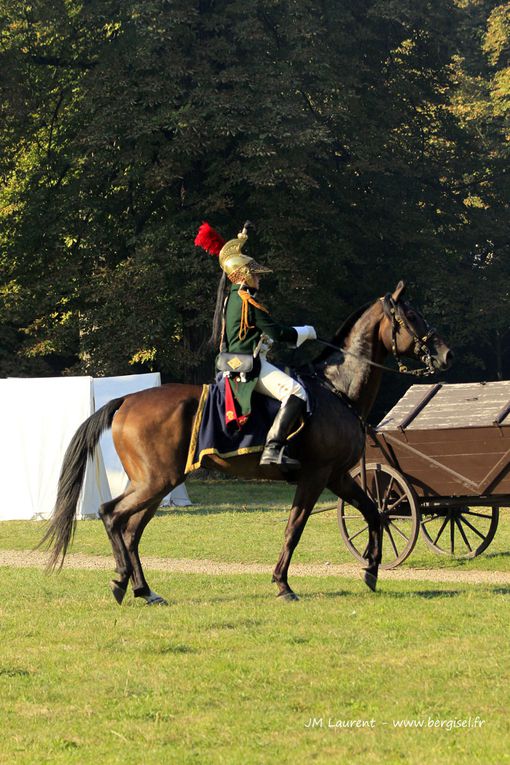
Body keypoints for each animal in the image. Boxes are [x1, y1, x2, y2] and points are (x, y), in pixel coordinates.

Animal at [41, 280, 452, 604]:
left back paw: (144, 590)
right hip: (155, 482)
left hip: (155, 484)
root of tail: (127, 399)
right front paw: (283, 585)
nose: (446, 353)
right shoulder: (316, 476)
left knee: (130, 529)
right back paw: (121, 581)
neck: (337, 389)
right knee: (112, 515)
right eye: (412, 315)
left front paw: (371, 570)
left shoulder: (336, 476)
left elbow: (372, 513)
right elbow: (294, 529)